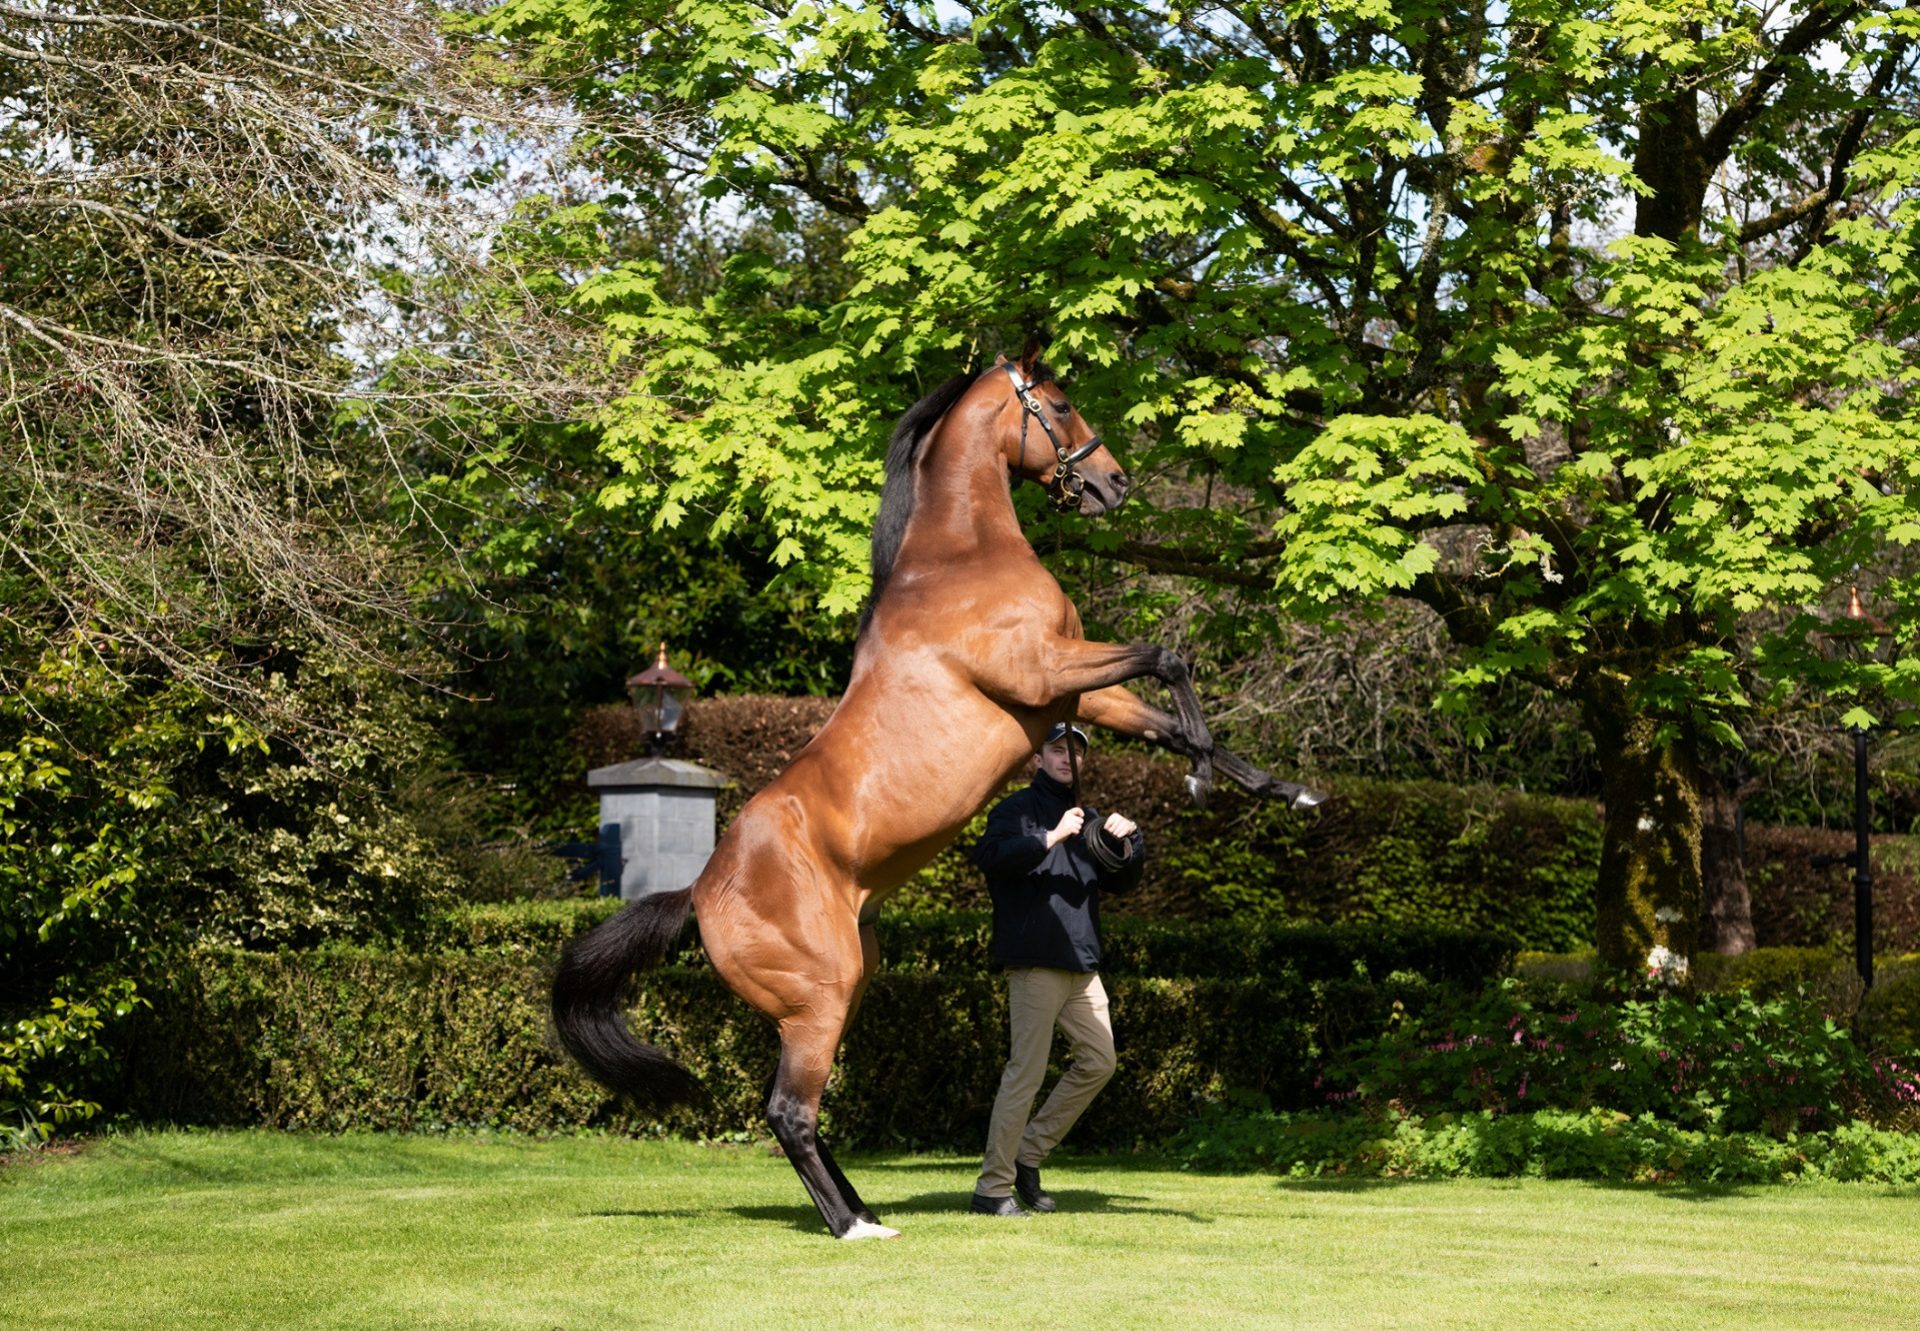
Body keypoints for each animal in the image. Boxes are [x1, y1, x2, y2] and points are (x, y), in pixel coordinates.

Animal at [549, 353, 1313, 1236]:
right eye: (1059, 404)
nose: (1114, 483)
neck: (960, 559)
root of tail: (699, 891)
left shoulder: (1071, 694)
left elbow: (1174, 718)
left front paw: (1284, 790)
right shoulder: (1045, 671)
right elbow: (1169, 658)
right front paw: (1196, 777)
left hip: (846, 984)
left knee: (797, 1108)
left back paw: (863, 1206)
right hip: (821, 997)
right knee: (788, 1111)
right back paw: (854, 1225)